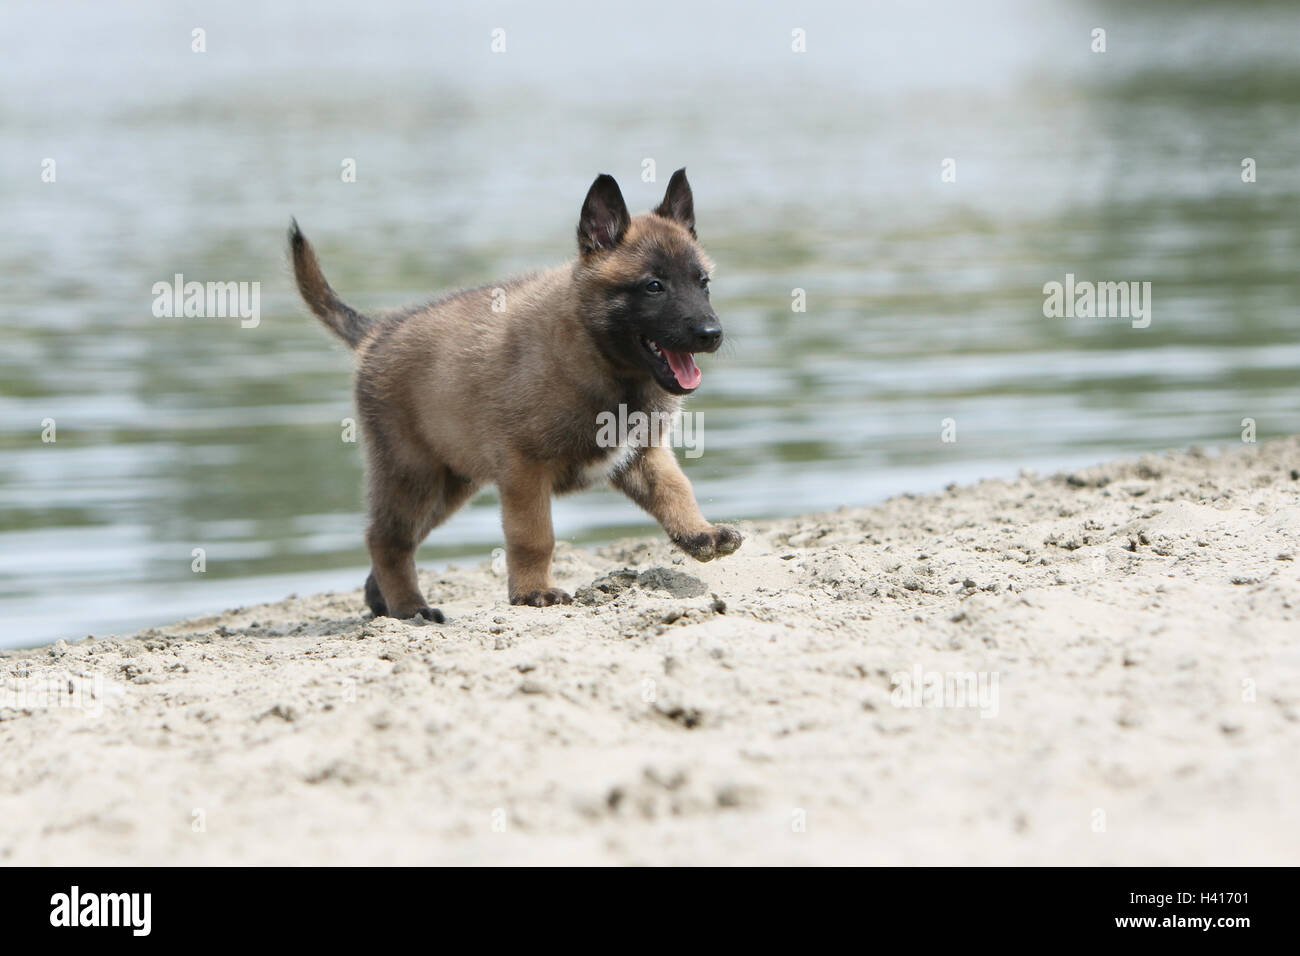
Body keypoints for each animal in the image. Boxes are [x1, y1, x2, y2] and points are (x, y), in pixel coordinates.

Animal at [292, 169, 743, 624]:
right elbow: (534, 537)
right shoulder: (524, 470)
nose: (711, 333)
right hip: (412, 474)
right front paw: (533, 592)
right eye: (654, 286)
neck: (602, 359)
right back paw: (410, 607)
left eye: (702, 283)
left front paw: (699, 532)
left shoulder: (643, 452)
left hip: (449, 482)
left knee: (393, 539)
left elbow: (675, 490)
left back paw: (382, 601)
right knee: (387, 540)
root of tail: (377, 331)